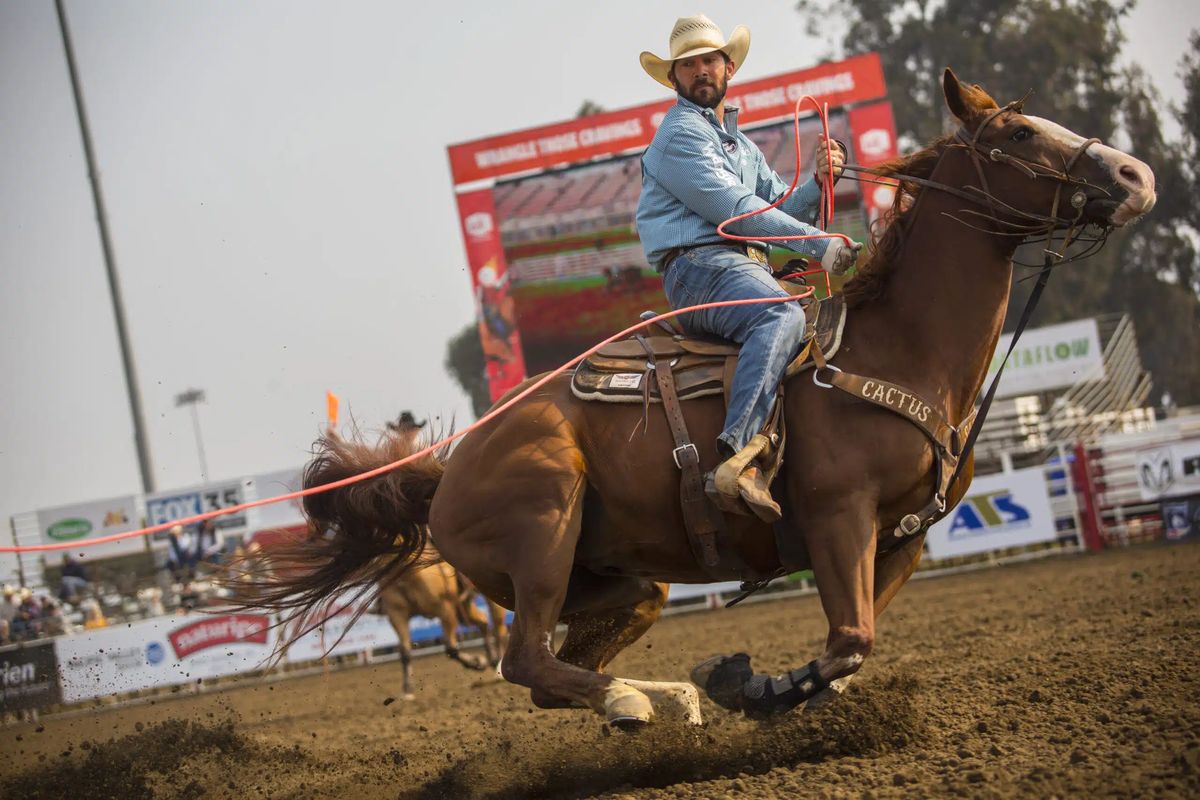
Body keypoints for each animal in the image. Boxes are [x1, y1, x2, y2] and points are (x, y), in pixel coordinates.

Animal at [379, 556, 511, 700]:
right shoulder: (396, 614)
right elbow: (405, 653)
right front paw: (407, 690)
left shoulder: (445, 606)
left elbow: (451, 648)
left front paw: (476, 662)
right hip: (463, 607)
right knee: (484, 621)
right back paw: (493, 659)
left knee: (499, 629)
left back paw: (499, 669)